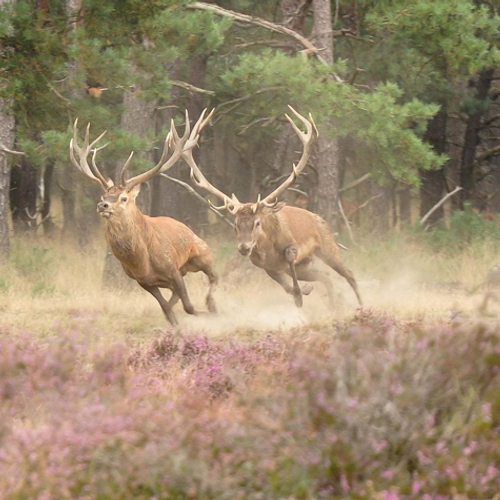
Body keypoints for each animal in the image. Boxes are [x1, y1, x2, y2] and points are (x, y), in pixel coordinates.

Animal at [174, 105, 362, 308]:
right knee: (326, 277)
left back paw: (360, 305)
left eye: (257, 223)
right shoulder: (267, 267)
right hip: (307, 267)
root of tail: (320, 218)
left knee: (349, 275)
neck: (268, 250)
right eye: (235, 225)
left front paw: (300, 294)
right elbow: (287, 287)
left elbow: (290, 257)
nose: (244, 248)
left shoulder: (292, 247)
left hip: (327, 247)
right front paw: (302, 292)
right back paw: (334, 305)